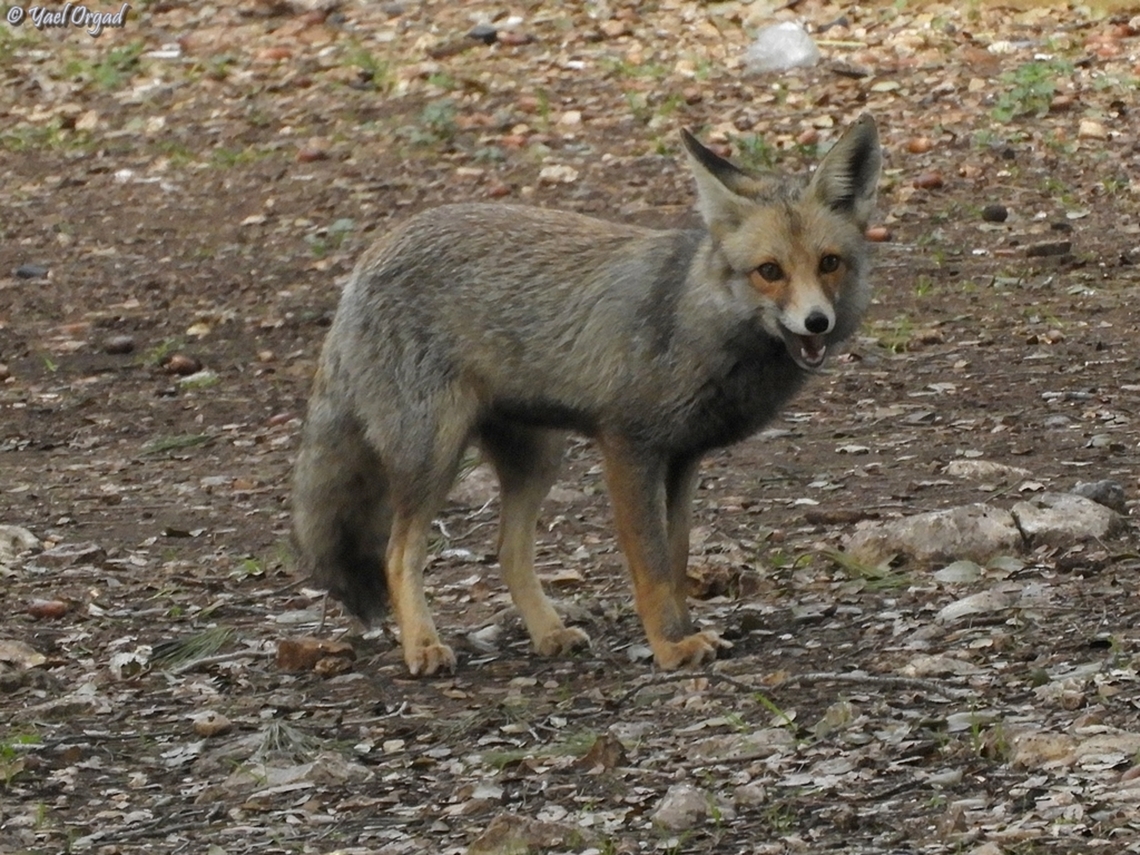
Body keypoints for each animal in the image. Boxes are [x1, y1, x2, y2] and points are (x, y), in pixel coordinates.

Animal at [292, 115, 882, 676]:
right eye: (770, 272)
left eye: (829, 263)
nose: (817, 322)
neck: (697, 322)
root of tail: (365, 262)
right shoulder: (628, 447)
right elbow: (651, 568)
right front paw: (670, 646)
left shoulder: (683, 458)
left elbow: (676, 560)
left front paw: (686, 630)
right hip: (432, 455)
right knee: (398, 557)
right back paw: (422, 646)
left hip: (537, 459)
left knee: (508, 552)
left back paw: (548, 634)